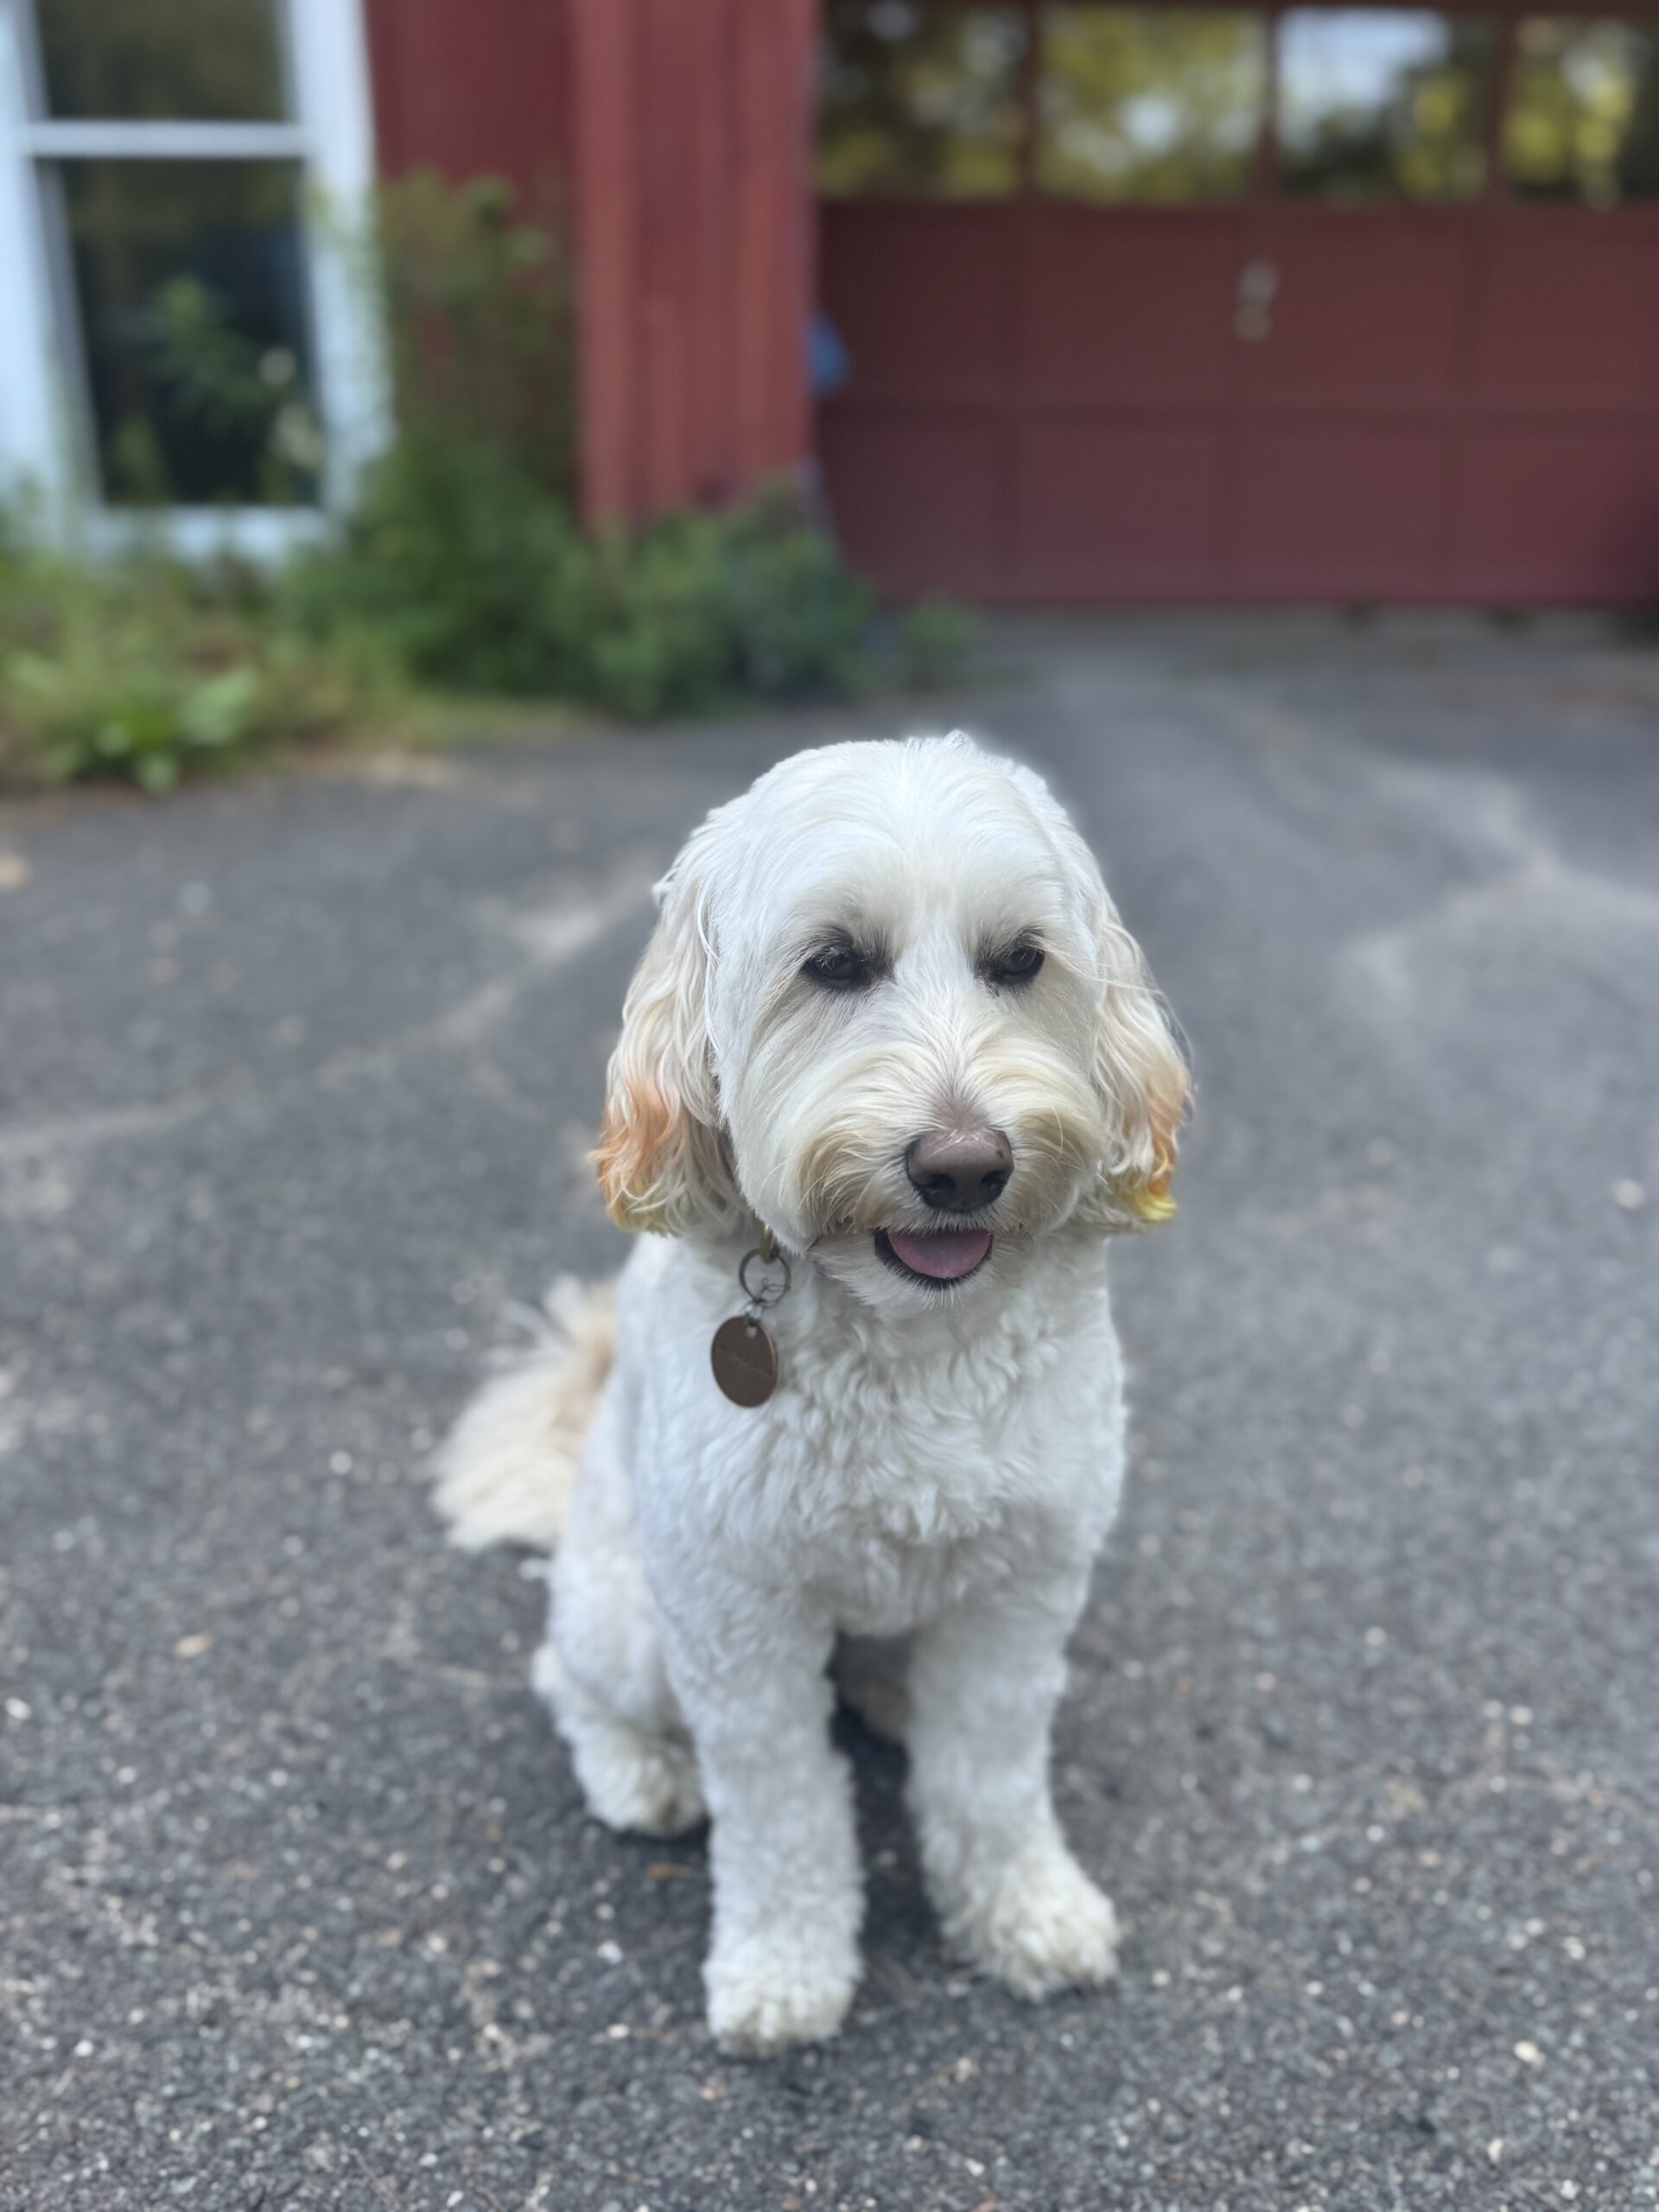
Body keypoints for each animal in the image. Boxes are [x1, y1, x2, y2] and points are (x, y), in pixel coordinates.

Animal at [437, 733, 1188, 2055]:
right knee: (563, 1678)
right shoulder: (736, 1615)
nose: (964, 1167)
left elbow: (988, 1771)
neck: (912, 1339)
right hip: (633, 1621)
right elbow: (783, 1803)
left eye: (1020, 961)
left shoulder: (1022, 1589)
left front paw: (1023, 1911)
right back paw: (642, 1773)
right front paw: (786, 1970)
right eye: (834, 963)